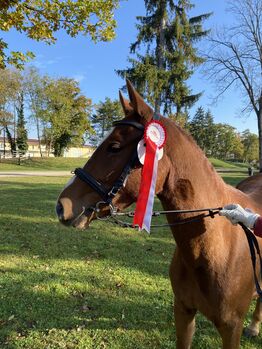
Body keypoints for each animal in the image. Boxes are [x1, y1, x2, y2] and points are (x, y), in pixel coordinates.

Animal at [56, 80, 262, 346]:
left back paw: (254, 326)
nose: (62, 205)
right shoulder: (183, 311)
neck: (213, 246)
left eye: (114, 147)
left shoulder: (231, 328)